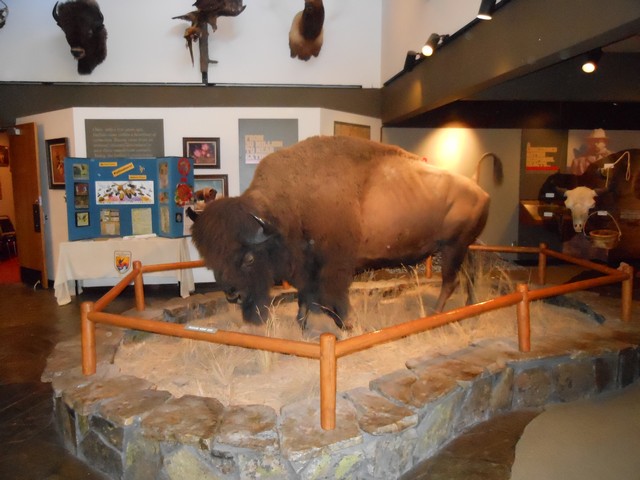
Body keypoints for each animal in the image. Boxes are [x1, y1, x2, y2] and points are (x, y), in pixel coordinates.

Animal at [190, 135, 490, 330]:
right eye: (211, 261)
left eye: (249, 258)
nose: (232, 295)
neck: (291, 204)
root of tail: (479, 188)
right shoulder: (307, 267)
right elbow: (307, 297)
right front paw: (304, 324)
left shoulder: (333, 267)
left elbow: (328, 298)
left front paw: (347, 323)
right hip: (465, 246)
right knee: (469, 273)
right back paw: (472, 306)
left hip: (453, 247)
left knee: (450, 280)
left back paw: (433, 316)